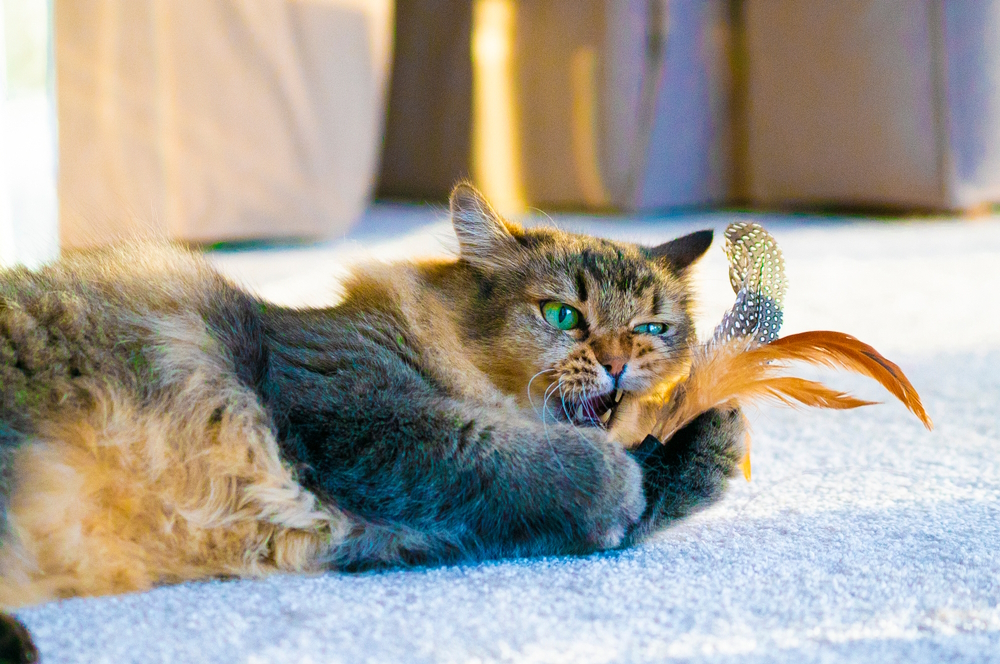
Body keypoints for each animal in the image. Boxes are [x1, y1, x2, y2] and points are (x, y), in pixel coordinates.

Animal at [0, 183, 748, 660]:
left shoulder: (391, 532)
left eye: (652, 328)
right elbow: (534, 459)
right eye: (563, 315)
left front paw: (712, 427)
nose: (620, 364)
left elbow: (642, 492)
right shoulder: (361, 414)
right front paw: (622, 474)